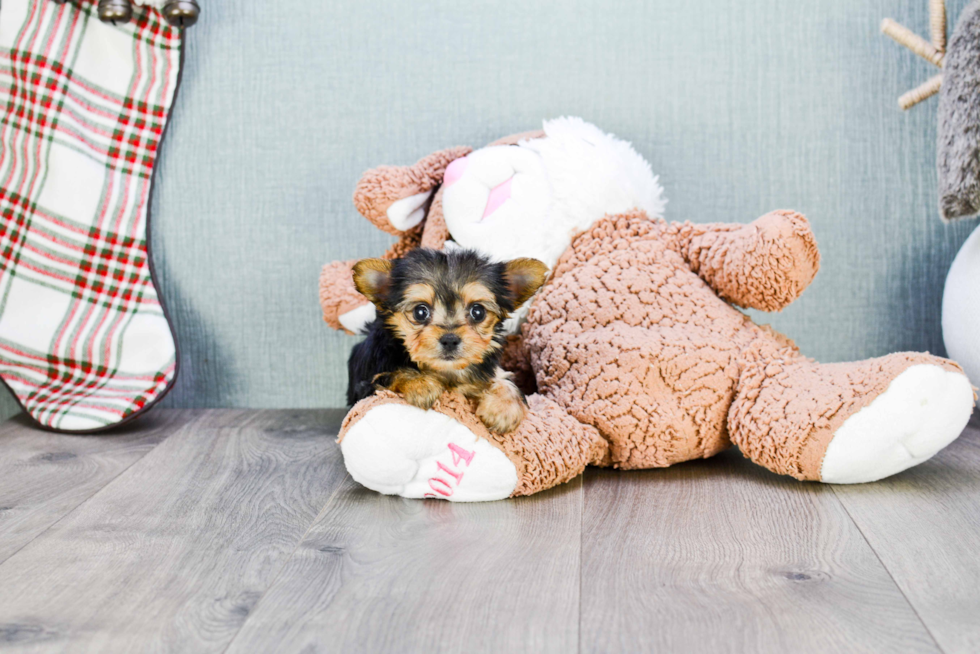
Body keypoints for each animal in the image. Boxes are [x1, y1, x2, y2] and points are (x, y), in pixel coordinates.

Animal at [344, 250, 548, 436]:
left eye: (478, 311)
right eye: (420, 312)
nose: (450, 340)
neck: (447, 371)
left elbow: (506, 381)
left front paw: (502, 410)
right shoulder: (367, 384)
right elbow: (392, 374)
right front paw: (421, 383)